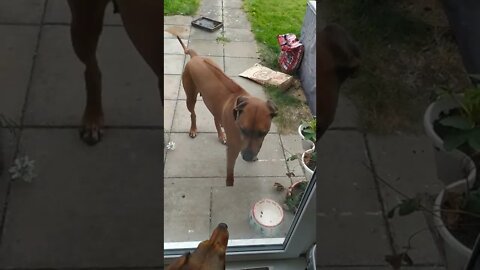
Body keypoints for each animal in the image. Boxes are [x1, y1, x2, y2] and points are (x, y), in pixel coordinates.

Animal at [170, 31, 278, 186]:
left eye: (262, 133)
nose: (247, 157)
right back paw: (193, 129)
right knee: (193, 114)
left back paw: (221, 133)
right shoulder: (234, 148)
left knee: (216, 118)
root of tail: (196, 57)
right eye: (243, 130)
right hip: (190, 97)